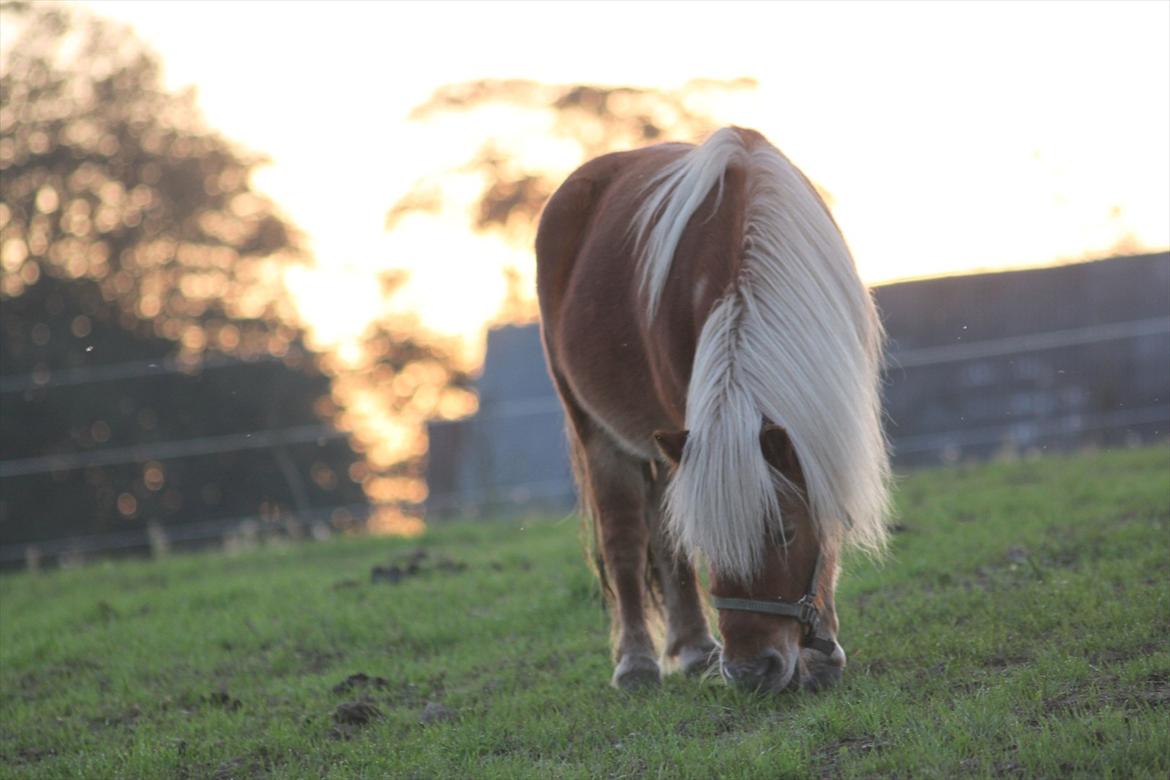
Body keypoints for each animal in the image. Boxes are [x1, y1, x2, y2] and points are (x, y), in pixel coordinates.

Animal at [535, 128, 889, 696]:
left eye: (784, 532)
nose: (750, 672)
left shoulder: (826, 425)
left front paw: (824, 656)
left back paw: (695, 649)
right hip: (598, 431)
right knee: (628, 540)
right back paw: (639, 663)